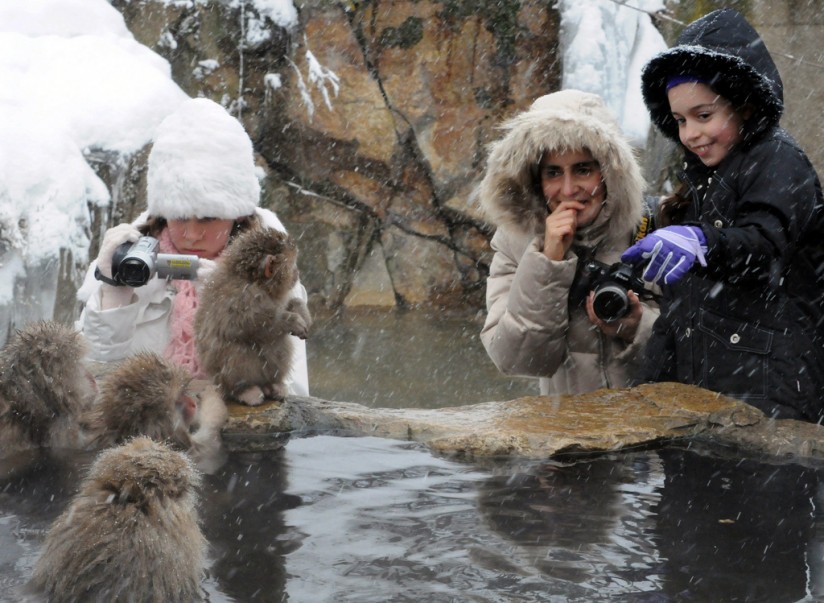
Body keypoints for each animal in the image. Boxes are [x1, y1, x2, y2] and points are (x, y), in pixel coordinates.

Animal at [195, 228, 311, 406]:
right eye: (292, 265)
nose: (297, 273)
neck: (257, 282)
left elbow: (288, 303)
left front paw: (301, 311)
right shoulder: (240, 295)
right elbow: (244, 323)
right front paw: (291, 321)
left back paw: (273, 385)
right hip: (221, 377)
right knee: (236, 347)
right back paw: (244, 390)